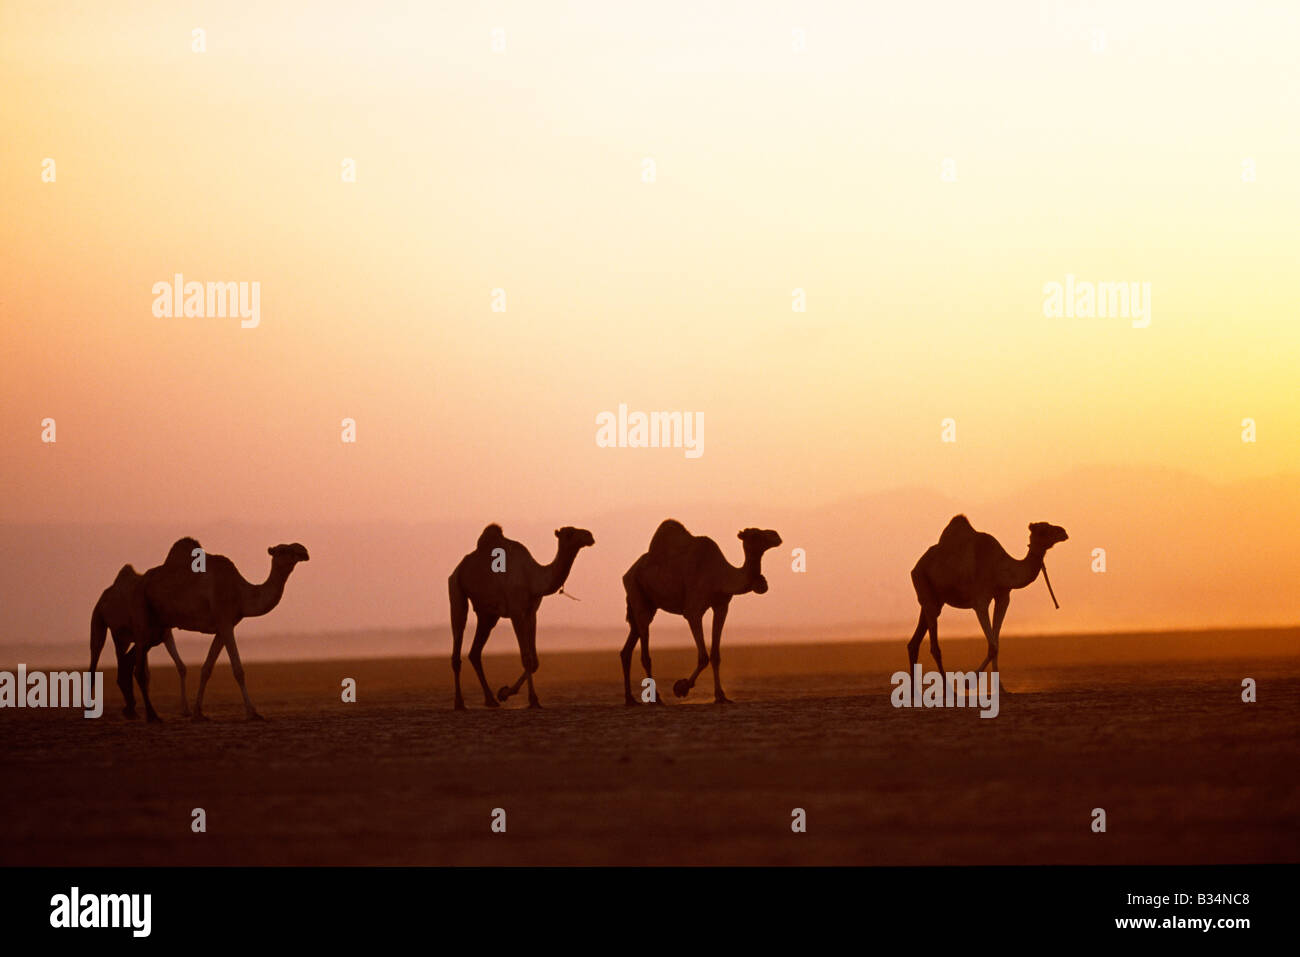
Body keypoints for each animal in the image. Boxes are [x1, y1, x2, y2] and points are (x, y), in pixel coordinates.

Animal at [91, 561, 189, 717]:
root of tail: (103, 598)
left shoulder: (163, 635)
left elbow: (180, 667)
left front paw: (185, 710)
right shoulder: (145, 637)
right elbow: (142, 672)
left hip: (123, 637)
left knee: (123, 661)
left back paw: (130, 708)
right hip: (101, 621)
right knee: (97, 658)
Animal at [129, 535, 309, 722]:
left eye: (297, 548)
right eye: (282, 550)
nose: (303, 551)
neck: (240, 593)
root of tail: (140, 581)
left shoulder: (224, 626)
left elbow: (207, 669)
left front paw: (198, 713)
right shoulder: (225, 622)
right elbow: (238, 670)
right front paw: (252, 712)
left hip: (158, 625)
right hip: (141, 610)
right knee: (139, 669)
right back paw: (152, 716)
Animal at [444, 522, 592, 712]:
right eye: (570, 533)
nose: (589, 536)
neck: (533, 578)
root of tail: (458, 568)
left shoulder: (531, 612)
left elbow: (535, 661)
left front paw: (504, 693)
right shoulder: (516, 611)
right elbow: (527, 658)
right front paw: (532, 700)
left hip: (488, 615)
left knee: (475, 652)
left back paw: (491, 700)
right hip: (456, 589)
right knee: (458, 634)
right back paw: (459, 703)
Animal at [618, 520, 780, 707]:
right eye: (755, 534)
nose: (776, 535)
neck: (720, 576)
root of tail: (628, 572)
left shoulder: (721, 606)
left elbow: (715, 655)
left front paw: (721, 696)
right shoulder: (693, 611)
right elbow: (703, 656)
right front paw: (681, 687)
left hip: (648, 604)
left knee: (628, 648)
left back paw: (630, 699)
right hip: (637, 593)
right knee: (645, 651)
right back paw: (656, 699)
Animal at [909, 514, 1071, 696]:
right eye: (1043, 530)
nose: (1063, 532)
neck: (1000, 569)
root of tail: (916, 566)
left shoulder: (1003, 597)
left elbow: (997, 644)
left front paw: (1001, 688)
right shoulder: (980, 601)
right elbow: (992, 646)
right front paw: (968, 682)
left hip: (935, 600)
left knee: (914, 642)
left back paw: (915, 693)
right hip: (924, 585)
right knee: (934, 647)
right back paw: (950, 691)